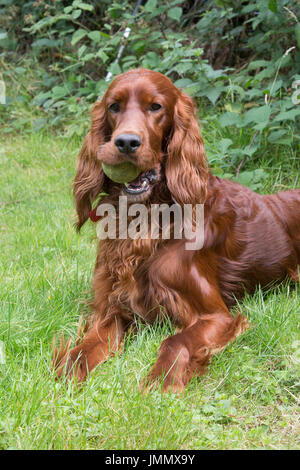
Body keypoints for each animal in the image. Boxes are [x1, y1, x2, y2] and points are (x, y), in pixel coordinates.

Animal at [52, 68, 298, 392]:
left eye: (155, 107)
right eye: (113, 106)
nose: (126, 142)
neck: (146, 219)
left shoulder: (215, 316)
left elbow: (175, 341)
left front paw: (159, 384)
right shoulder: (113, 307)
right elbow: (85, 347)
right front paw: (66, 375)